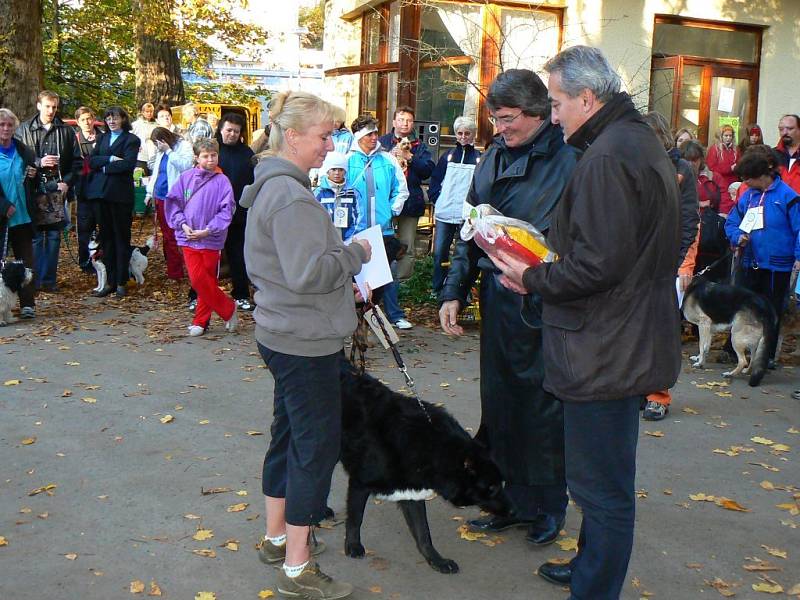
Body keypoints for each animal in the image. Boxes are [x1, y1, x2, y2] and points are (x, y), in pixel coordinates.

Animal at [340, 364, 510, 576]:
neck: (430, 446)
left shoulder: (410, 491)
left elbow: (423, 533)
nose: (513, 510)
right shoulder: (360, 483)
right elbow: (356, 518)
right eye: (492, 488)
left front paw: (436, 560)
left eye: (502, 484)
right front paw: (353, 545)